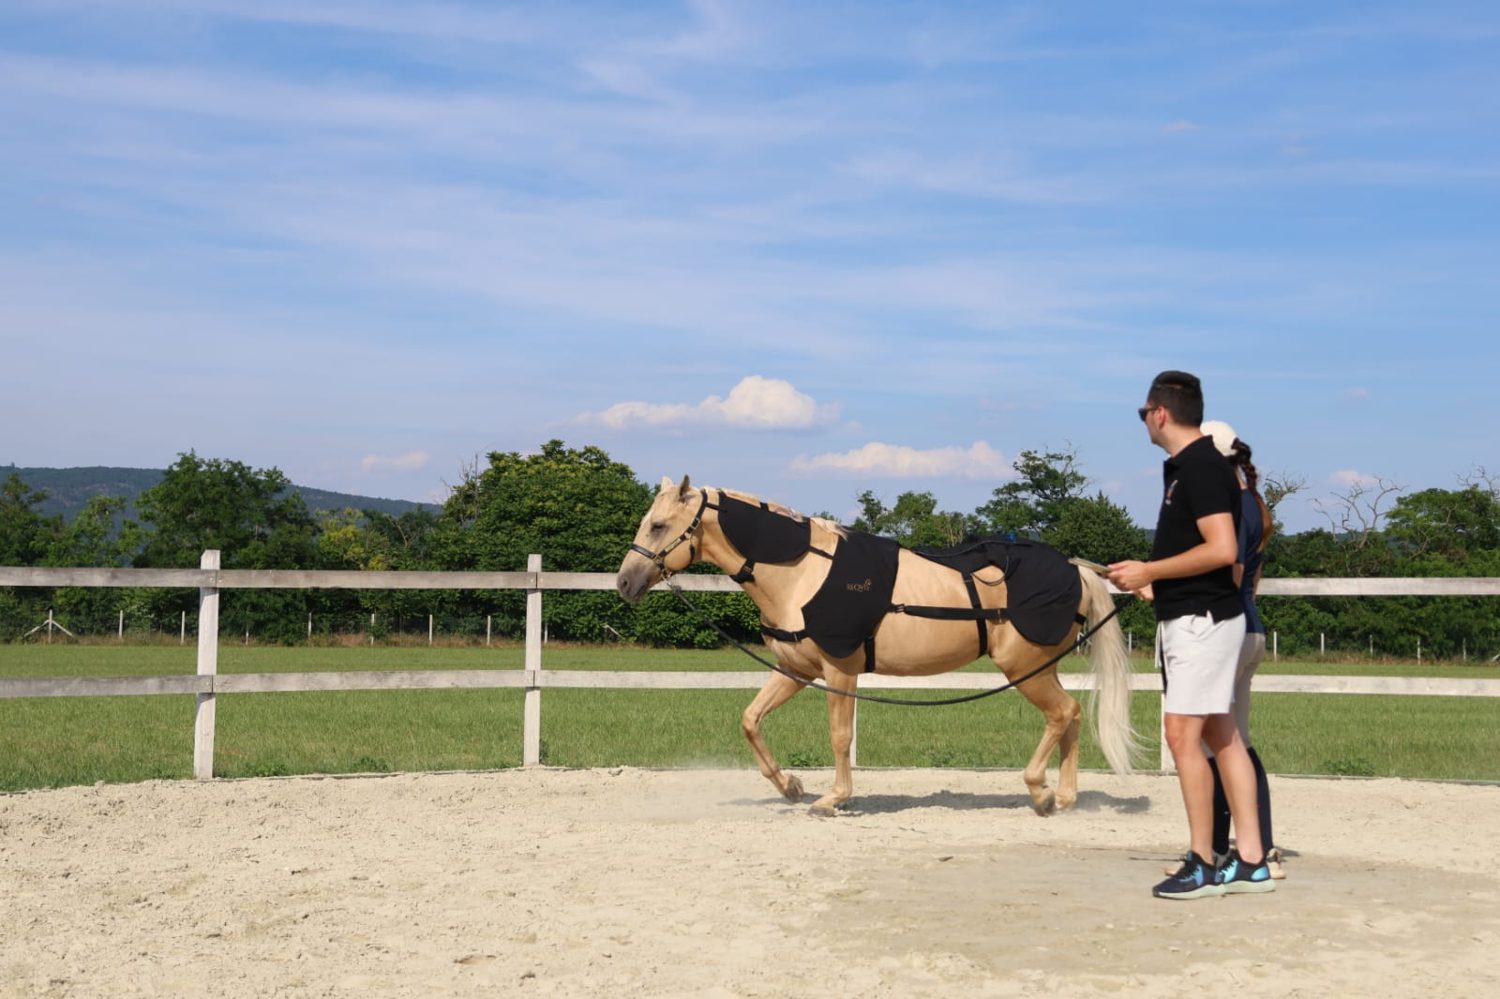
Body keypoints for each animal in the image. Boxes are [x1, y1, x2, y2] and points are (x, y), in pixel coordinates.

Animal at [616, 476, 1142, 816]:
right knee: (1071, 715)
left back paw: (1041, 792)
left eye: (659, 525)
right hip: (1039, 668)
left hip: (1023, 666)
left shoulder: (839, 670)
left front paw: (833, 799)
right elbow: (751, 721)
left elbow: (839, 737)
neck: (802, 572)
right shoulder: (796, 670)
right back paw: (1065, 797)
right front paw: (790, 786)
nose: (624, 582)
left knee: (1061, 714)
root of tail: (1075, 569)